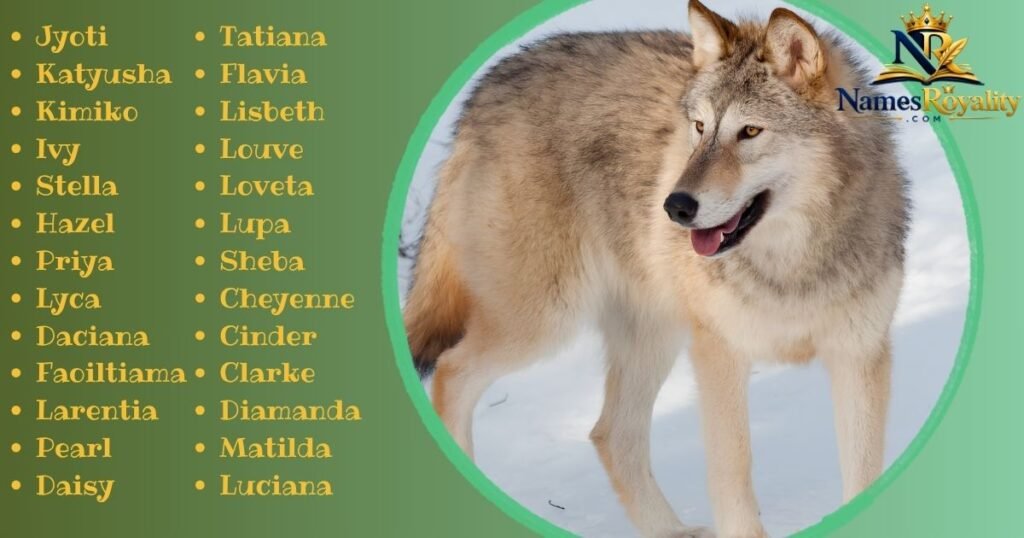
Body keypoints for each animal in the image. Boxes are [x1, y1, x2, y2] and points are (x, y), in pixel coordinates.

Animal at [403, 1, 908, 536]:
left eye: (749, 131)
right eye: (700, 128)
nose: (675, 206)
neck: (790, 264)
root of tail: (484, 88)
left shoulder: (860, 355)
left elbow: (863, 472)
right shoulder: (719, 353)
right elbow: (733, 475)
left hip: (649, 335)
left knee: (609, 433)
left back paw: (673, 531)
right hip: (543, 322)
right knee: (452, 373)